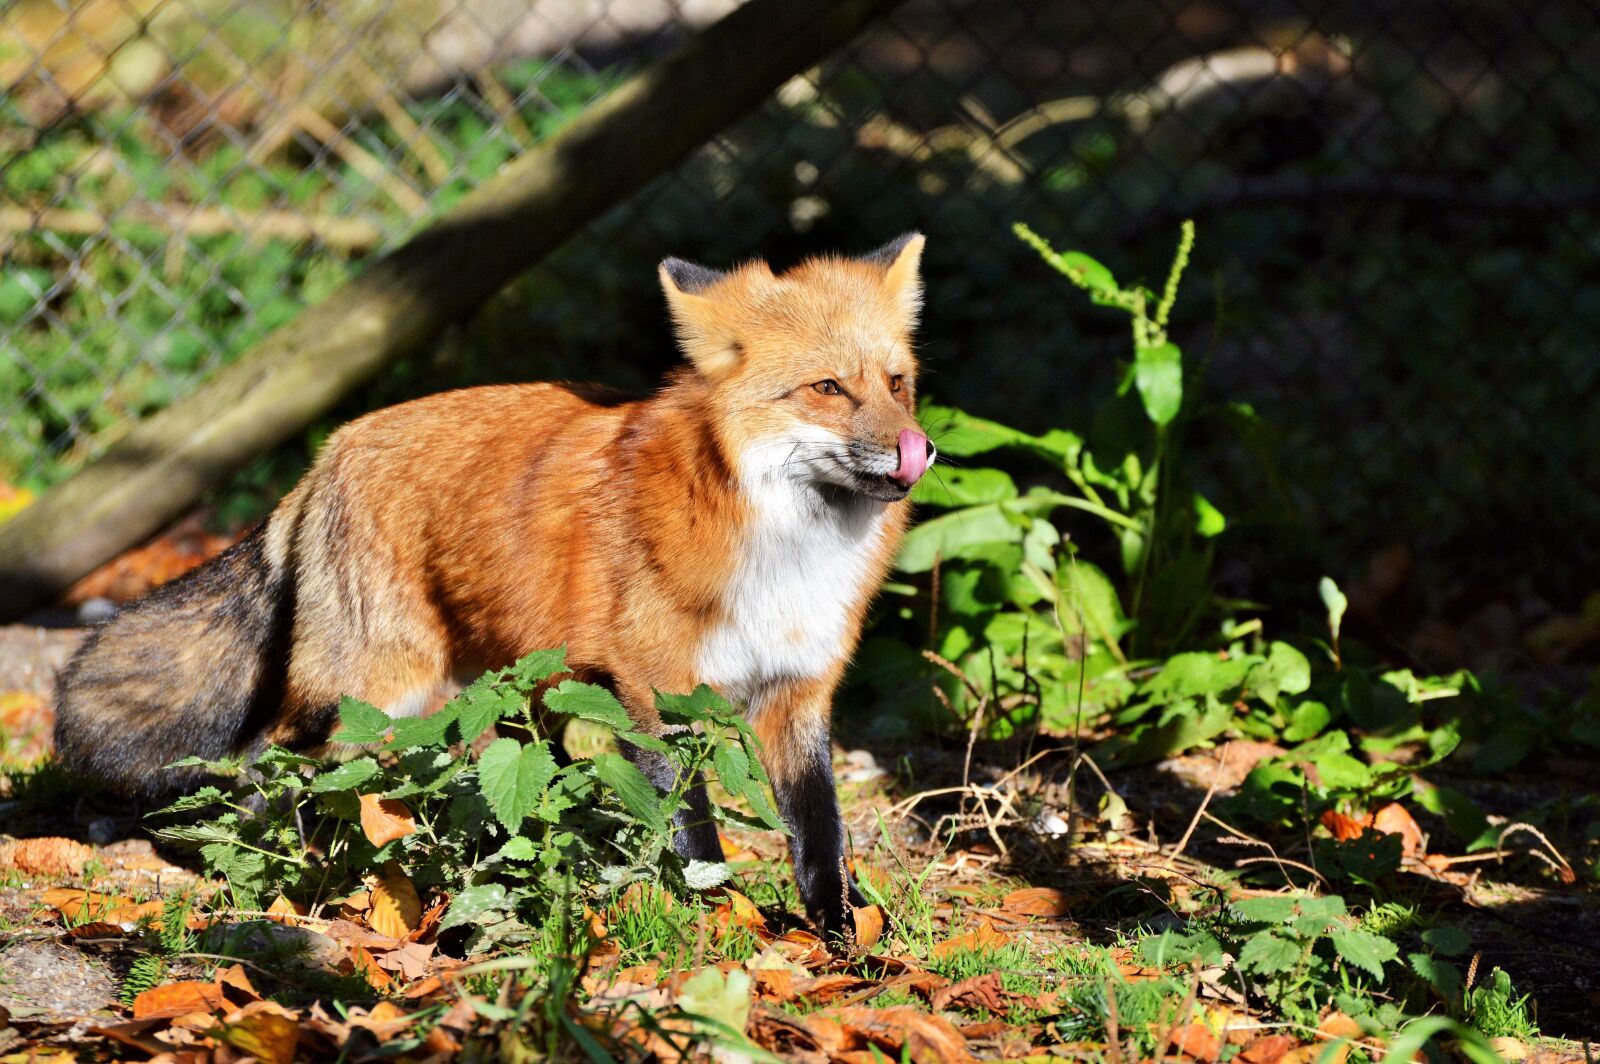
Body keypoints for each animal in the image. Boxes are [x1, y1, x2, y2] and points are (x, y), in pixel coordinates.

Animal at [53, 234, 935, 942]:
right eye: (827, 388)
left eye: (897, 383)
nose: (919, 449)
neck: (786, 555)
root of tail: (327, 451)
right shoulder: (655, 691)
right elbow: (686, 831)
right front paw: (706, 923)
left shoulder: (798, 693)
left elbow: (821, 836)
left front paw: (844, 937)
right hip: (374, 691)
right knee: (281, 763)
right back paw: (297, 874)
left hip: (511, 688)